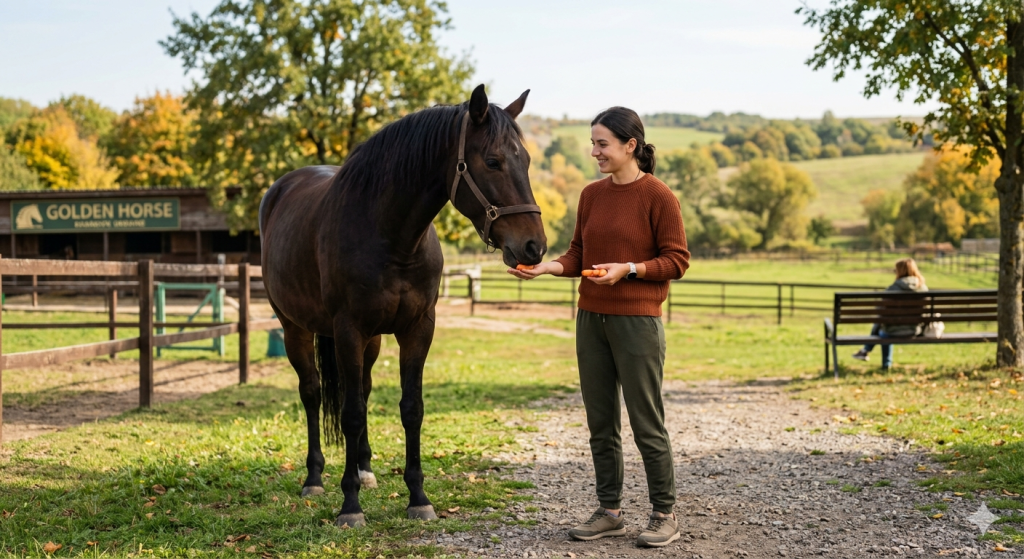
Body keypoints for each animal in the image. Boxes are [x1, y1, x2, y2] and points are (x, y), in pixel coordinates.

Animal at [258, 85, 546, 527]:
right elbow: (351, 413)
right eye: (493, 161)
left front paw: (418, 498)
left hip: (372, 341)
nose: (534, 246)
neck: (391, 237)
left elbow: (411, 408)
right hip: (295, 328)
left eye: (527, 161)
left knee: (361, 389)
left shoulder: (417, 329)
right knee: (312, 393)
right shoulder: (348, 330)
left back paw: (364, 469)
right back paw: (314, 478)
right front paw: (350, 505)